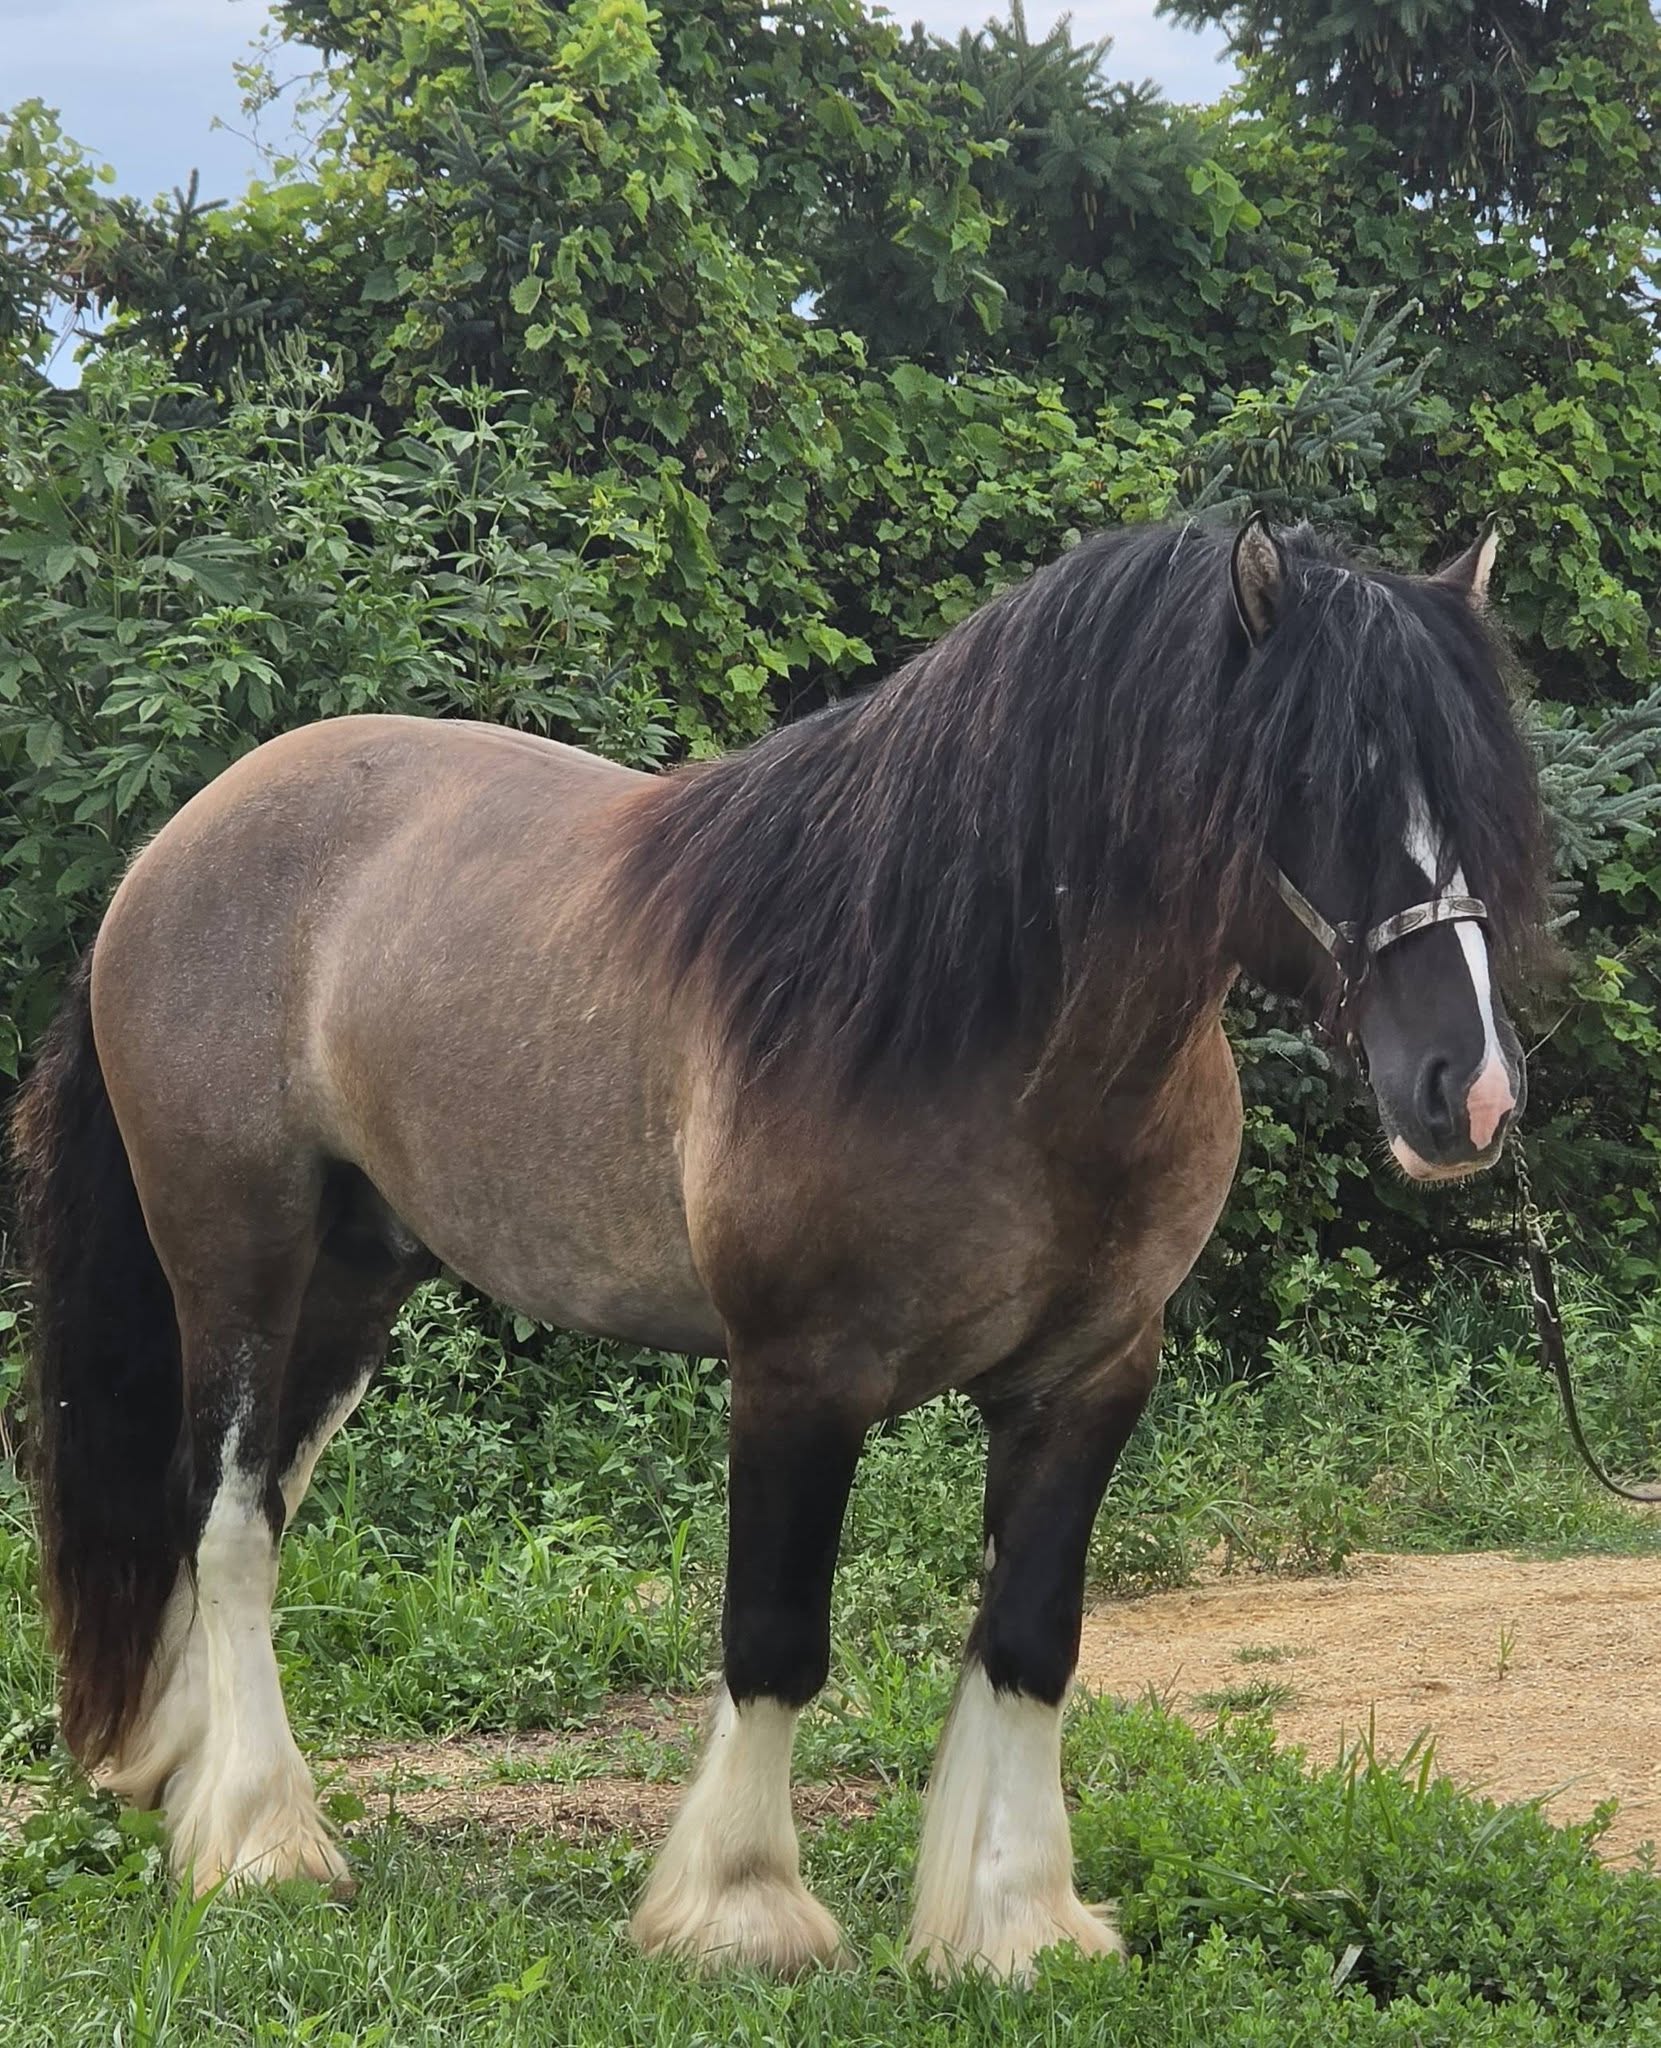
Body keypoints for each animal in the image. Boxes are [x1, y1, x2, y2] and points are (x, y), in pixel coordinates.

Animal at [11, 512, 1547, 1980]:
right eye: (1318, 784)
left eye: (1478, 791)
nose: (1467, 1093)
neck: (973, 1013)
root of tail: (179, 843)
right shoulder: (800, 1375)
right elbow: (773, 1637)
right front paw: (740, 1909)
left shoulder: (1089, 1381)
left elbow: (1028, 1641)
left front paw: (1011, 1923)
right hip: (237, 1258)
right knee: (222, 1516)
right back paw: (261, 1840)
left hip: (353, 1280)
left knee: (254, 1505)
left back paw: (191, 1786)